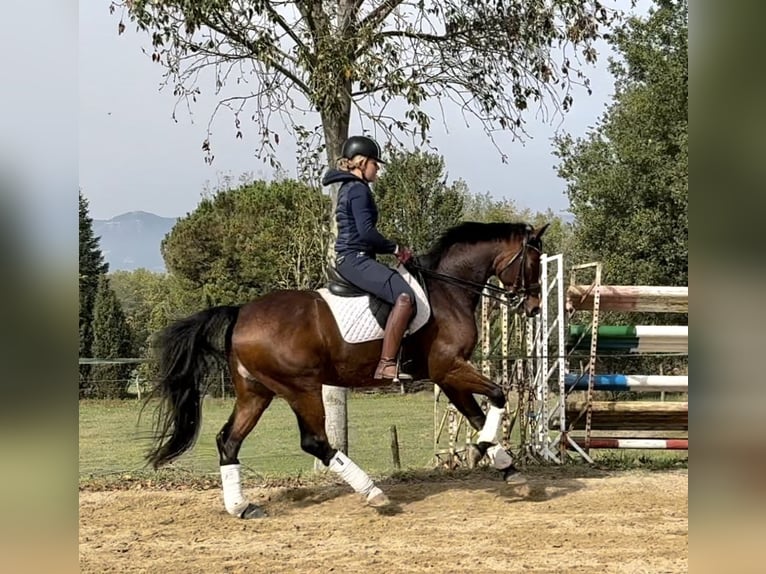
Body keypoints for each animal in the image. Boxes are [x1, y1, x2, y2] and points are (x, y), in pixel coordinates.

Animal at [146, 220, 552, 516]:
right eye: (533, 262)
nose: (533, 307)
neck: (446, 291)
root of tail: (241, 312)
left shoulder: (447, 374)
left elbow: (475, 413)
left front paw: (506, 465)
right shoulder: (449, 367)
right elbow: (497, 395)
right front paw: (487, 448)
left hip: (256, 392)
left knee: (228, 440)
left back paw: (241, 507)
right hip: (301, 388)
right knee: (314, 442)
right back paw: (373, 492)